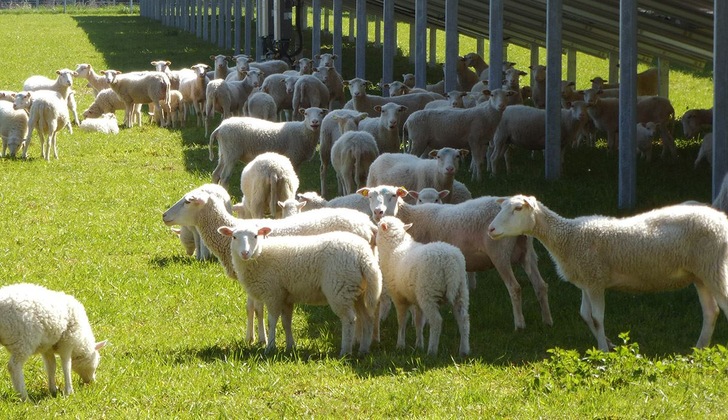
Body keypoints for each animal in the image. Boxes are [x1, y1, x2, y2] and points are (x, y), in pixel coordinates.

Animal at [218, 224, 381, 355]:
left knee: (349, 319)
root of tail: (363, 256)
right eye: (234, 237)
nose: (245, 253)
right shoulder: (285, 296)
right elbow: (286, 322)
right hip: (357, 291)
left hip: (340, 289)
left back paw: (345, 351)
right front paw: (290, 346)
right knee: (367, 318)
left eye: (255, 236)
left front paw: (270, 347)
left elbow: (272, 321)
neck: (260, 256)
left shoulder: (273, 293)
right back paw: (363, 350)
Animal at [357, 185, 553, 330]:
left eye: (393, 195)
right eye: (370, 196)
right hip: (527, 252)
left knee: (515, 288)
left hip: (500, 252)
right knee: (540, 285)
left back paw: (519, 324)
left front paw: (417, 322)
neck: (410, 218)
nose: (378, 212)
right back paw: (547, 321)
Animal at [375, 216, 470, 356]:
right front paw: (419, 345)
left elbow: (402, 321)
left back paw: (432, 351)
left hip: (428, 293)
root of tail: (449, 262)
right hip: (460, 290)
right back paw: (464, 350)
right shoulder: (416, 300)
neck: (394, 247)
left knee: (436, 321)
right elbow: (419, 322)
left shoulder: (399, 297)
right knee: (463, 319)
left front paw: (400, 344)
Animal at [488, 194, 728, 351]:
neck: (568, 238)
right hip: (701, 274)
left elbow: (596, 317)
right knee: (710, 312)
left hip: (714, 267)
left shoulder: (595, 279)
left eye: (518, 209)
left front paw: (603, 350)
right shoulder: (586, 280)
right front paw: (608, 343)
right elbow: (585, 316)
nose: (490, 229)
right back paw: (699, 349)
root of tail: (719, 219)